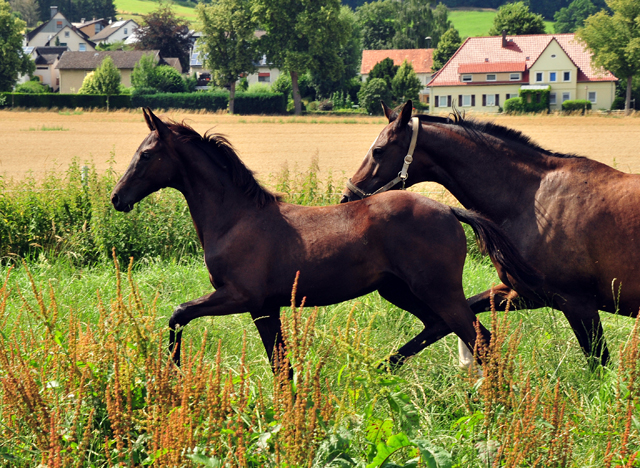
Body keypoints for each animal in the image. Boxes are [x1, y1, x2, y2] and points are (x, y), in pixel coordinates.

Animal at [110, 109, 540, 370]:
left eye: (145, 155)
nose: (117, 198)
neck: (236, 218)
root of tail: (450, 211)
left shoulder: (241, 297)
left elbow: (179, 313)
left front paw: (173, 373)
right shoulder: (267, 307)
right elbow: (281, 365)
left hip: (438, 290)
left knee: (480, 339)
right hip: (398, 291)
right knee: (439, 328)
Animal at [344, 99, 640, 370]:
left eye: (379, 151)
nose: (348, 197)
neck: (533, 200)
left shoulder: (579, 305)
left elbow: (599, 365)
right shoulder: (525, 294)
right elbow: (446, 322)